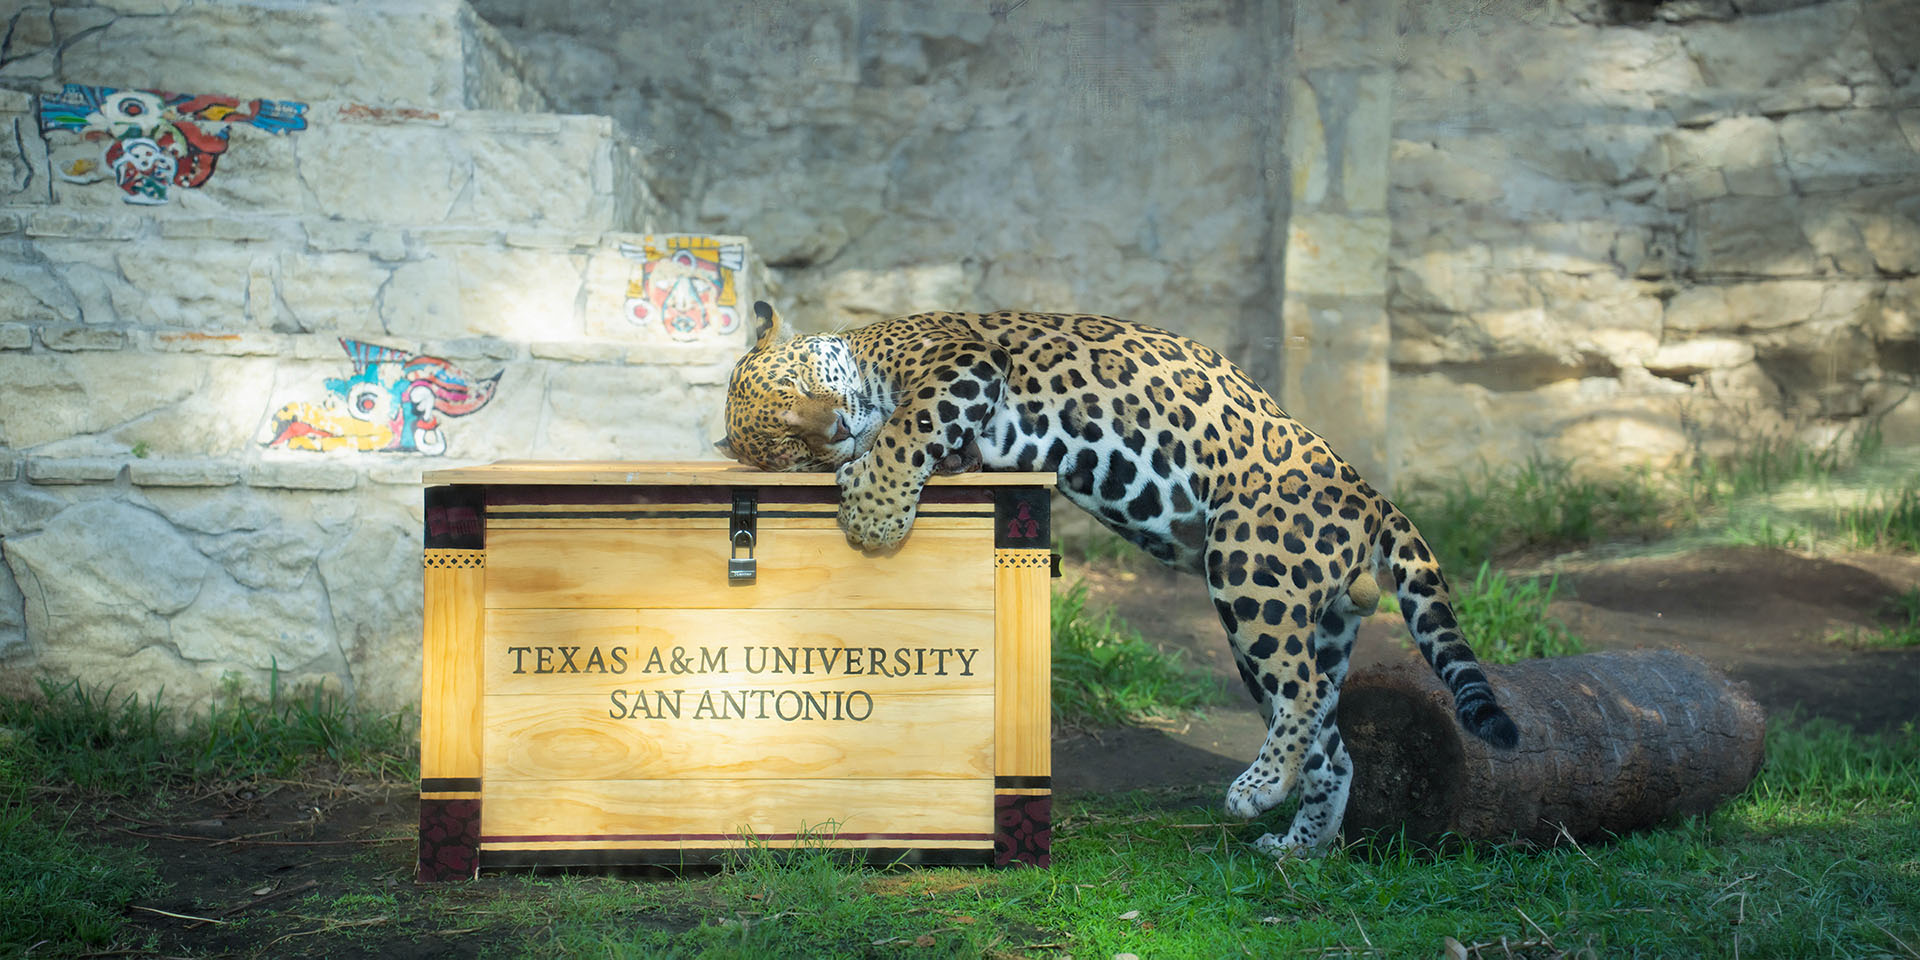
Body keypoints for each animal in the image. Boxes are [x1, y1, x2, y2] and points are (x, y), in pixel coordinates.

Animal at [715, 300, 1519, 855]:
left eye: (802, 382)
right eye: (786, 447)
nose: (832, 430)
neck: (866, 345)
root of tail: (1369, 493)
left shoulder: (960, 362)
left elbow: (909, 425)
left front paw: (874, 511)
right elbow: (925, 441)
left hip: (1249, 569)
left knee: (1305, 693)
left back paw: (1257, 790)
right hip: (1307, 617)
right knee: (1330, 735)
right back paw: (1296, 841)